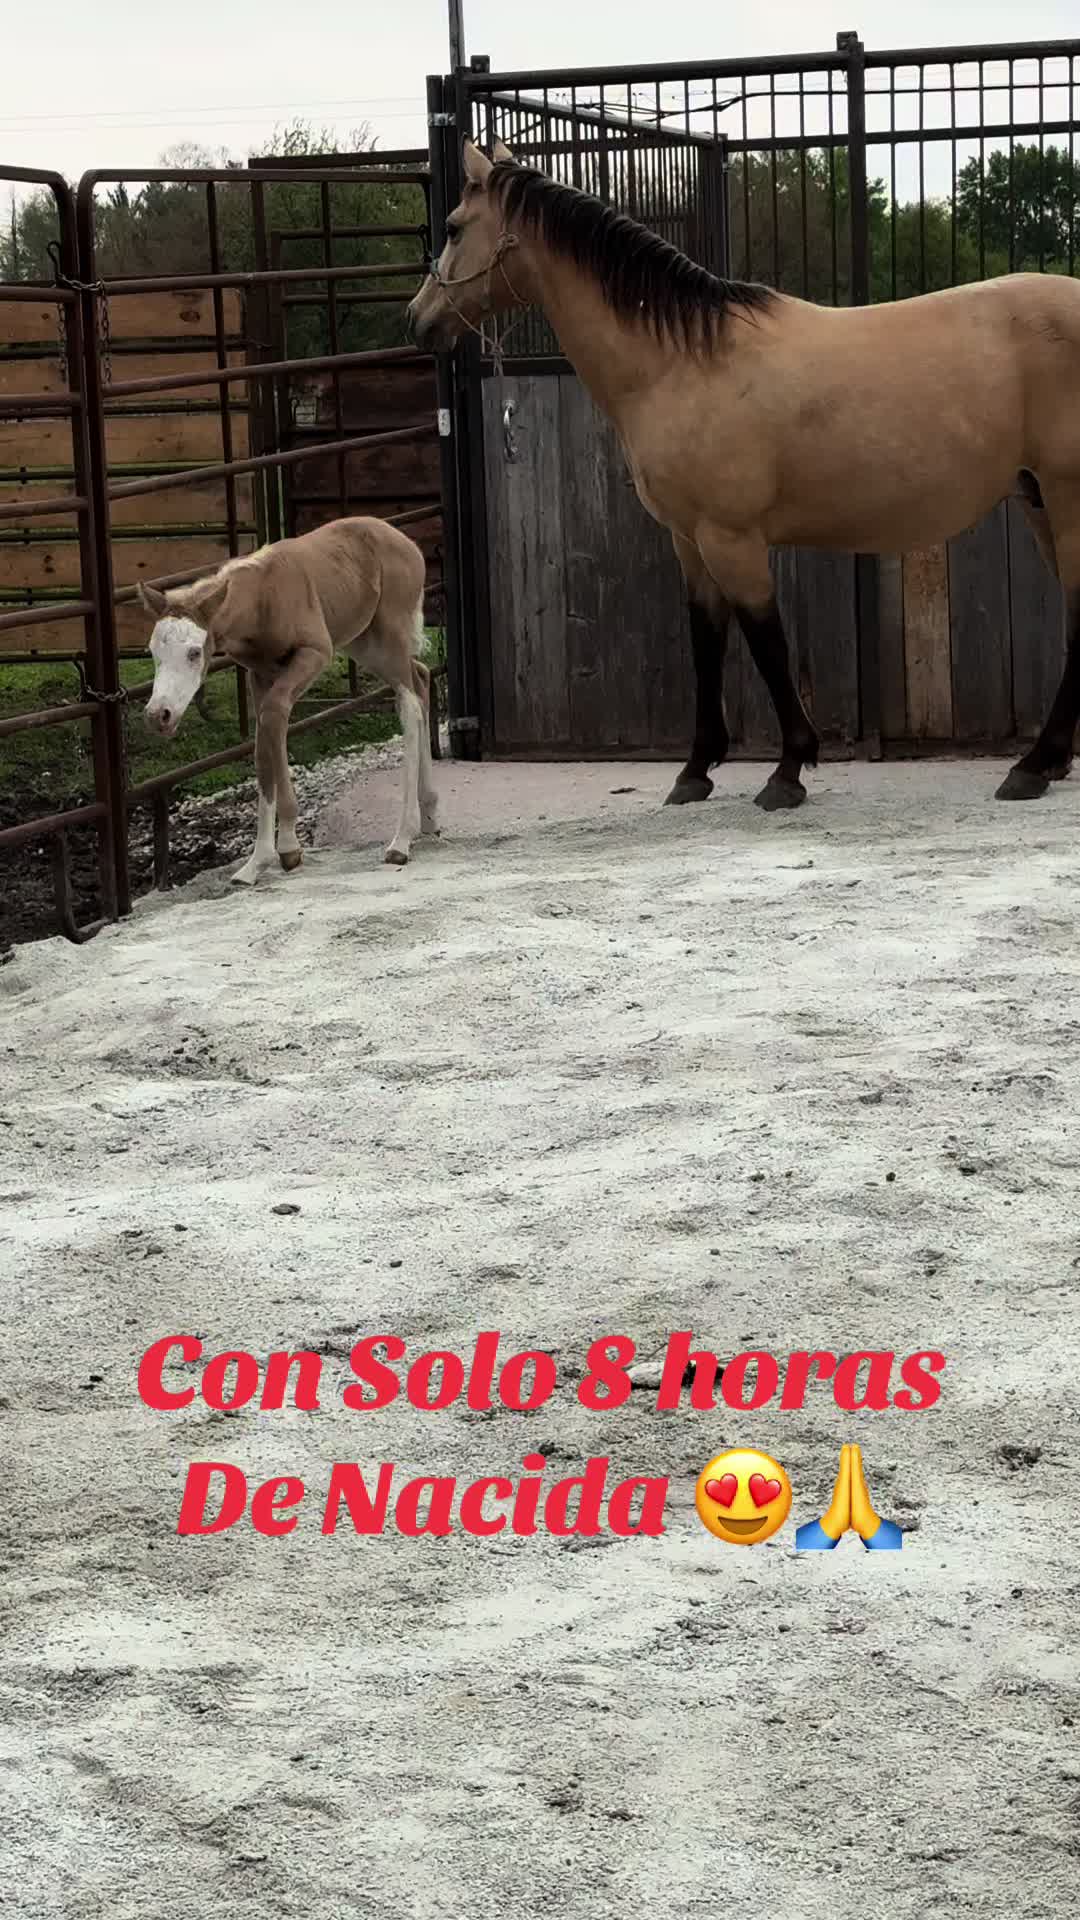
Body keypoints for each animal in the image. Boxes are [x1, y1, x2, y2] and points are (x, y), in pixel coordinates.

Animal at [139, 516, 439, 887]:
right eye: (153, 652)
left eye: (195, 652)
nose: (159, 714)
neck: (263, 599)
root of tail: (407, 543)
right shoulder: (260, 674)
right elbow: (265, 736)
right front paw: (266, 858)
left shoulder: (316, 652)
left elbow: (273, 716)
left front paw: (279, 850)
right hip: (364, 641)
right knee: (421, 677)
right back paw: (430, 814)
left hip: (389, 634)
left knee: (409, 704)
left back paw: (402, 838)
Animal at [408, 140, 1080, 812]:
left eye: (453, 227)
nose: (418, 319)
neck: (682, 363)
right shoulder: (689, 540)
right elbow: (707, 642)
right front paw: (695, 770)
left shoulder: (731, 538)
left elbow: (766, 643)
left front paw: (788, 769)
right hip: (1039, 502)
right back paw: (1047, 762)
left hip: (1065, 501)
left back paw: (1033, 764)